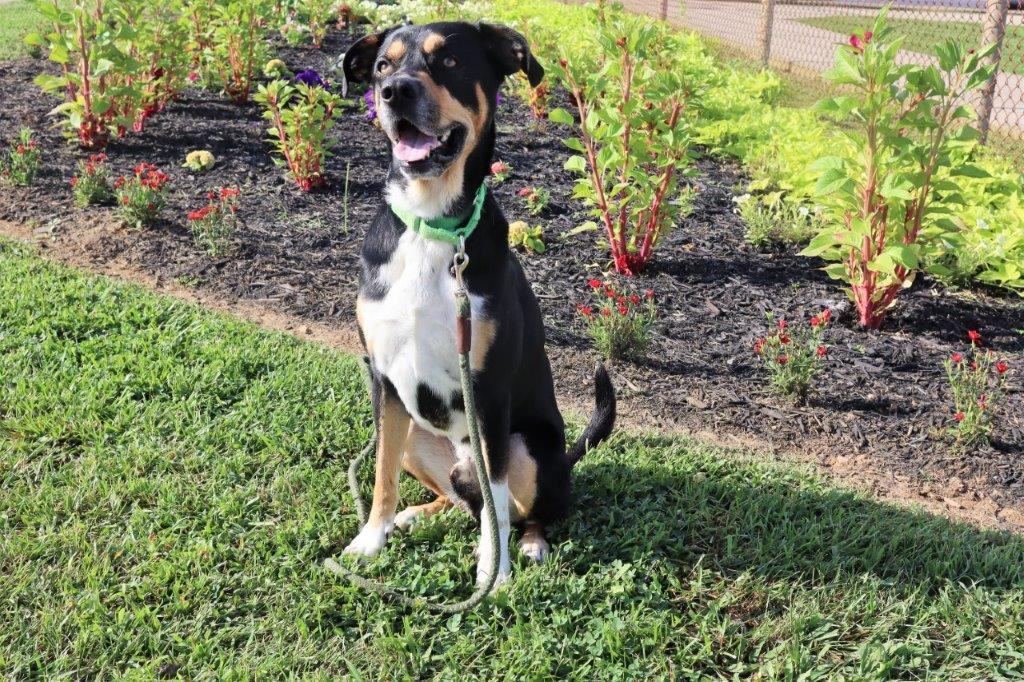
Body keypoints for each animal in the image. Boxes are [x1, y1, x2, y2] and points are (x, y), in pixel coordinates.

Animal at [342, 19, 614, 585]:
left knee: (526, 508)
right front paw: (370, 541)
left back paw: (530, 543)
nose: (394, 91)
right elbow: (381, 477)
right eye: (382, 65)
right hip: (414, 435)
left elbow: (496, 504)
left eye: (449, 62)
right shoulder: (384, 381)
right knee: (456, 493)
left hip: (527, 445)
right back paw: (422, 514)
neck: (432, 224)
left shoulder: (487, 389)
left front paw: (495, 571)